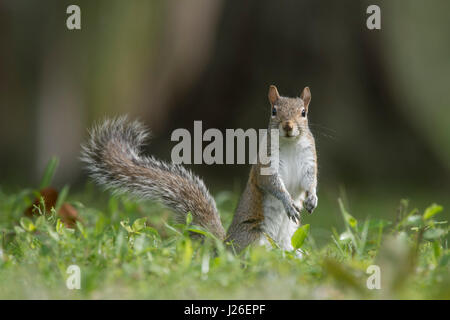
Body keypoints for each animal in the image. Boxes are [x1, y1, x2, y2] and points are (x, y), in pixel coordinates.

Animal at [81, 84, 320, 252]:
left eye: (303, 112)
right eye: (274, 111)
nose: (288, 126)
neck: (290, 143)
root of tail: (226, 246)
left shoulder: (309, 161)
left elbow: (309, 182)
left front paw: (312, 199)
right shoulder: (266, 164)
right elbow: (272, 184)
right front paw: (288, 202)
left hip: (288, 244)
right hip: (254, 239)